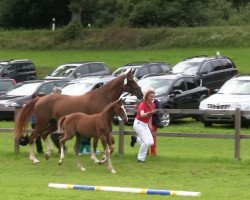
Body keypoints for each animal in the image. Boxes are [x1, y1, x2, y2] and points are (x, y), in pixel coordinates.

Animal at [15, 69, 143, 163]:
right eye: (131, 81)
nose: (141, 94)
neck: (102, 97)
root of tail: (39, 98)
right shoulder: (98, 126)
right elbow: (101, 141)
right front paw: (100, 158)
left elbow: (107, 141)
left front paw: (102, 157)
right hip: (42, 122)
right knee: (33, 137)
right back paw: (34, 159)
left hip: (53, 123)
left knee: (44, 134)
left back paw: (48, 153)